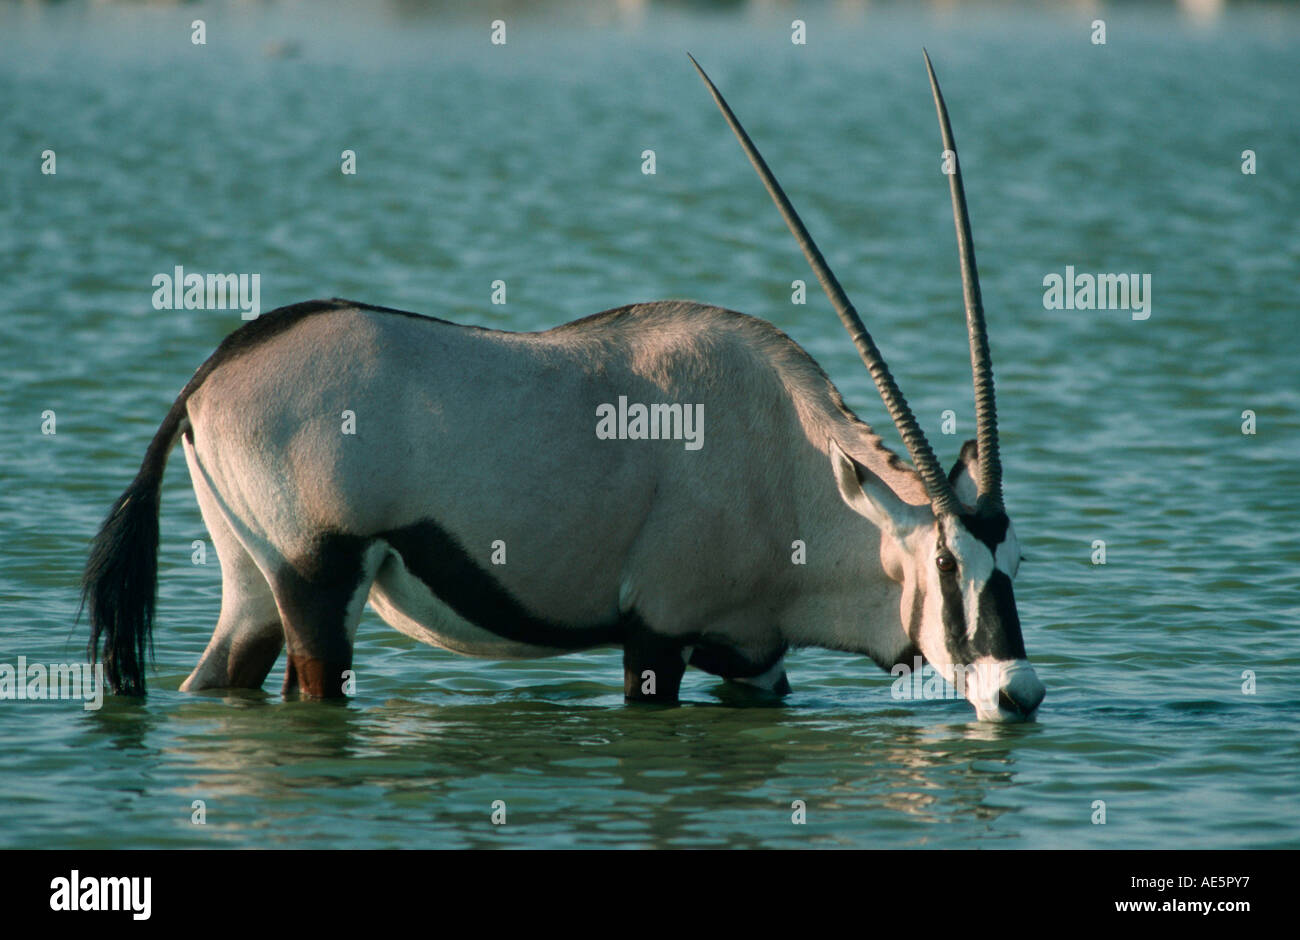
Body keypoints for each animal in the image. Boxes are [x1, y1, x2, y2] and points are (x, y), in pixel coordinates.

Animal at [83, 51, 1045, 722]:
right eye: (948, 562)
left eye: (1017, 562)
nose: (1019, 693)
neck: (789, 464)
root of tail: (210, 376)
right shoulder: (657, 635)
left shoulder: (755, 657)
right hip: (316, 587)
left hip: (252, 589)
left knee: (215, 680)